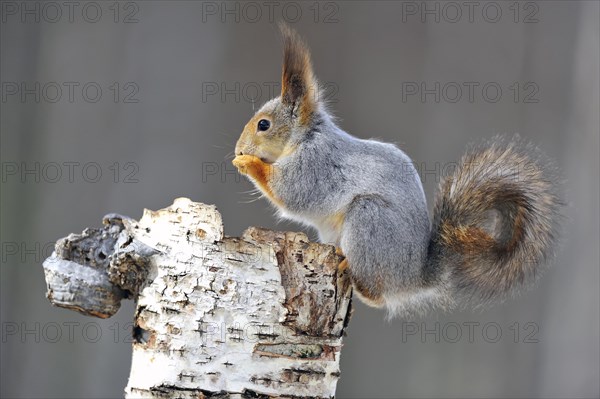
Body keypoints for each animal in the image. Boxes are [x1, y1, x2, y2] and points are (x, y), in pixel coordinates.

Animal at [231, 25, 564, 318]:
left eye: (264, 125)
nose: (238, 149)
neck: (305, 137)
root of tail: (413, 278)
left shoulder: (316, 166)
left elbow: (291, 193)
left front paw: (248, 164)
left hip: (370, 220)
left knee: (378, 295)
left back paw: (352, 273)